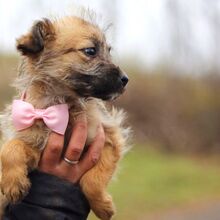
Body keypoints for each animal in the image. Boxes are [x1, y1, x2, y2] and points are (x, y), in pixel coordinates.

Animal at [0, 14, 129, 219]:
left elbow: (92, 181)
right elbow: (11, 147)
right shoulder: (35, 145)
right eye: (90, 51)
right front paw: (12, 183)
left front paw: (103, 206)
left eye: (108, 51)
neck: (63, 105)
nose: (126, 79)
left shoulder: (109, 139)